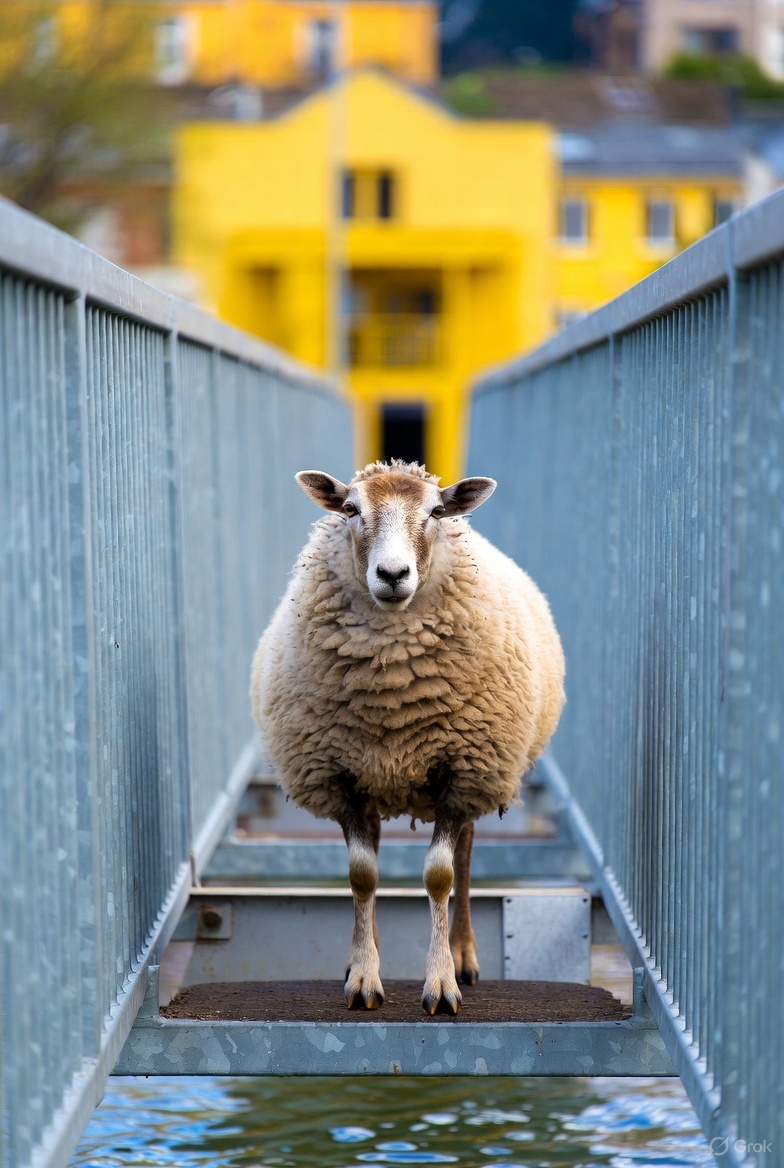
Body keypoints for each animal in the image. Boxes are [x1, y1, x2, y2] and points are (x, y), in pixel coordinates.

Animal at [250, 459, 565, 1015]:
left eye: (436, 511)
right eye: (350, 509)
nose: (393, 575)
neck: (392, 688)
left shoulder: (462, 770)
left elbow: (440, 875)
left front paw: (441, 983)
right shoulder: (341, 775)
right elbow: (362, 875)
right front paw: (363, 979)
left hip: (476, 776)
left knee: (464, 855)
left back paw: (462, 954)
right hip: (373, 772)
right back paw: (366, 951)